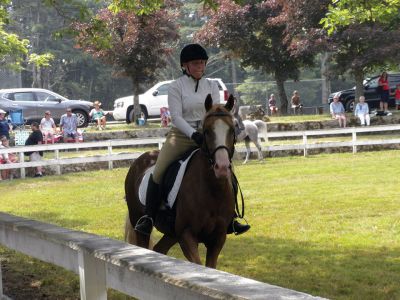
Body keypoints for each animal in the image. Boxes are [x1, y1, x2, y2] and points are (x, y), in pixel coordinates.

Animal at [125, 95, 236, 268]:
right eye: (207, 131)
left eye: (232, 129)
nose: (222, 167)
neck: (212, 190)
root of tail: (141, 159)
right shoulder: (186, 235)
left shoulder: (218, 238)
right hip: (139, 222)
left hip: (171, 233)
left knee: (159, 249)